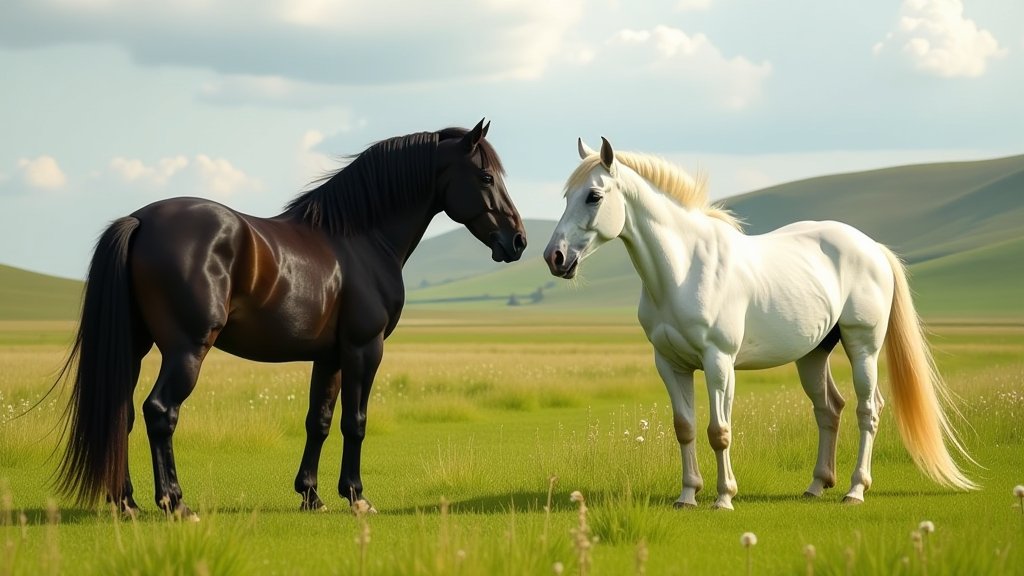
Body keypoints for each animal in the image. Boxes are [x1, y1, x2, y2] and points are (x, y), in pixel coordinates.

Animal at [54, 117, 528, 516]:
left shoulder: (330, 356)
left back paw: (127, 504)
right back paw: (175, 504)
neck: (362, 240)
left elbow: (318, 421)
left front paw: (311, 495)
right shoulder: (364, 349)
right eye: (486, 177)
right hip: (186, 349)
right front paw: (357, 496)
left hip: (134, 347)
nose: (519, 241)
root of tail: (139, 219)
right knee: (159, 412)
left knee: (123, 415)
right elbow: (355, 422)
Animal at [544, 138, 974, 506]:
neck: (684, 270)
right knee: (829, 409)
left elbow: (718, 431)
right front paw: (687, 495)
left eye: (594, 196)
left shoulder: (719, 362)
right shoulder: (670, 364)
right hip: (813, 354)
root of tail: (872, 248)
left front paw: (724, 497)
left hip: (862, 347)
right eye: (566, 196)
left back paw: (855, 490)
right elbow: (685, 427)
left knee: (868, 410)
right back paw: (816, 485)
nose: (555, 257)